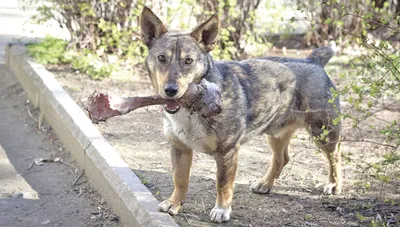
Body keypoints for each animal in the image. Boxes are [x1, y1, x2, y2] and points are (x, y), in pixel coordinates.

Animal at [139, 6, 342, 223]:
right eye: (161, 58)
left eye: (188, 61)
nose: (170, 90)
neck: (193, 106)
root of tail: (313, 60)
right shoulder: (180, 148)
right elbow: (180, 179)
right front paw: (174, 203)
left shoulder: (227, 153)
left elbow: (223, 184)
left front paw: (222, 210)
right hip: (276, 134)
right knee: (281, 159)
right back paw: (265, 183)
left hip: (323, 133)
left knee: (336, 155)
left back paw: (334, 184)